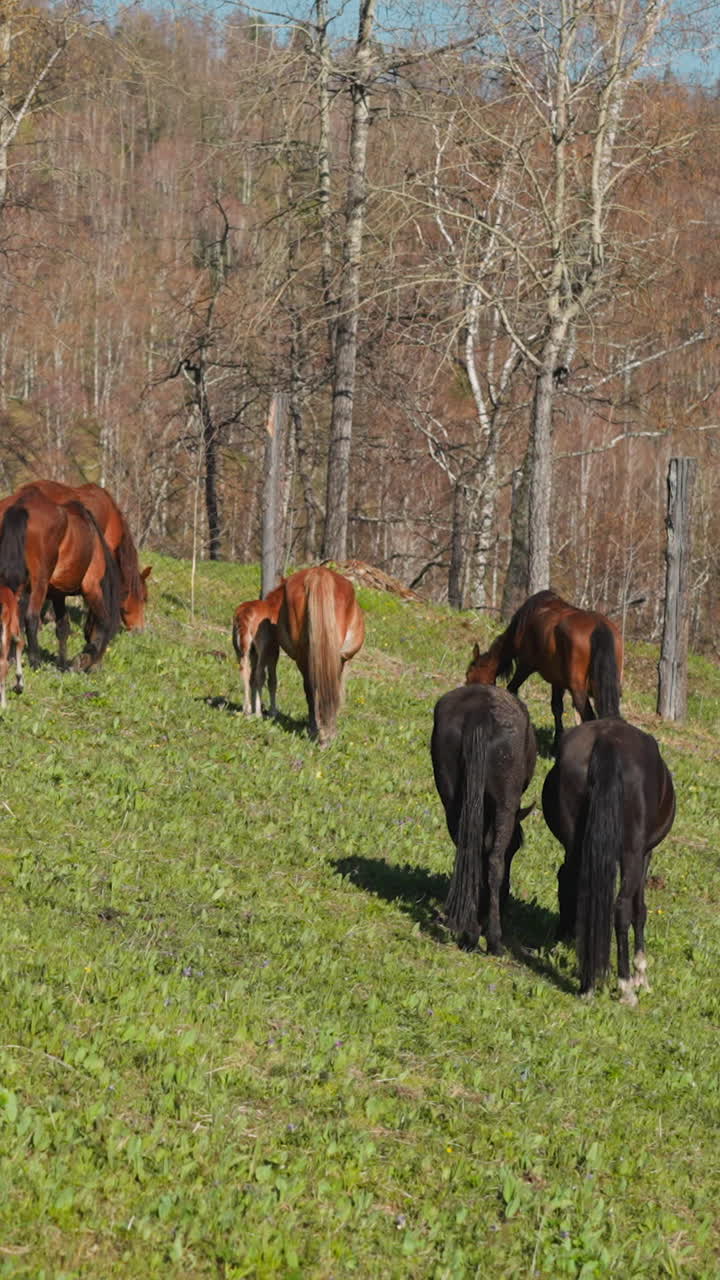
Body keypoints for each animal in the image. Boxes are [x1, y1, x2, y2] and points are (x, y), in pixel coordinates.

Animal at [0, 486, 122, 671]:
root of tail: (22, 504)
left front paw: (62, 664)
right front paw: (83, 657)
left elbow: (62, 628)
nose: (96, 668)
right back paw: (36, 662)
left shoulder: (57, 595)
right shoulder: (92, 587)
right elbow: (104, 621)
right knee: (31, 618)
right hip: (40, 584)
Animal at [232, 584, 284, 717]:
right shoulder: (273, 651)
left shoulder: (254, 653)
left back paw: (247, 709)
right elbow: (272, 681)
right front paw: (272, 711)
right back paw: (258, 713)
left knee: (245, 672)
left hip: (240, 650)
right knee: (259, 675)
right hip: (263, 650)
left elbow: (252, 679)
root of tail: (244, 615)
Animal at [431, 684, 537, 955]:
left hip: (452, 799)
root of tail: (479, 714)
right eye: (515, 849)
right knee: (493, 862)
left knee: (470, 851)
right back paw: (493, 938)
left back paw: (470, 930)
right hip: (504, 805)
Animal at [466, 589, 623, 751]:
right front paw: (556, 744)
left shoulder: (526, 665)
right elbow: (557, 708)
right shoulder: (557, 681)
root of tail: (600, 626)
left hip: (578, 689)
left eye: (469, 677)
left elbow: (512, 690)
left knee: (588, 717)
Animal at [541, 718, 675, 1004]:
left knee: (574, 887)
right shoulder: (644, 854)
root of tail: (607, 741)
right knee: (621, 907)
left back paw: (587, 984)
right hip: (632, 854)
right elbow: (639, 909)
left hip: (576, 847)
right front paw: (640, 976)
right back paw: (625, 987)